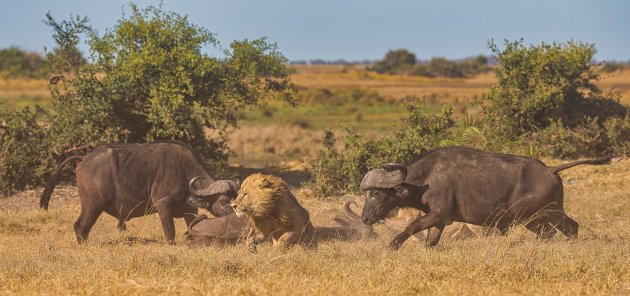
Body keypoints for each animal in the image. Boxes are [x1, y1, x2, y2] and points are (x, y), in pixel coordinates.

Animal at [40, 141, 239, 243]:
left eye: (235, 199)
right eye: (224, 202)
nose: (237, 214)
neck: (184, 172)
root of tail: (85, 158)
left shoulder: (190, 210)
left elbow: (193, 227)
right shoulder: (163, 205)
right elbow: (170, 231)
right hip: (93, 206)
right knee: (81, 227)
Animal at [236, 173, 376, 250]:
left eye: (245, 194)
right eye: (239, 193)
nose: (233, 205)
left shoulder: (296, 229)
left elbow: (284, 238)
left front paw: (278, 251)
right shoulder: (267, 231)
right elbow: (253, 239)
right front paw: (252, 248)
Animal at [360, 146, 616, 250]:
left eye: (375, 193)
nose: (365, 219)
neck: (425, 180)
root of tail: (550, 169)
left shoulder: (438, 215)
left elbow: (410, 227)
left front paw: (392, 245)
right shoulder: (438, 221)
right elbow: (430, 242)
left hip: (536, 216)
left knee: (563, 230)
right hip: (545, 215)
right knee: (567, 229)